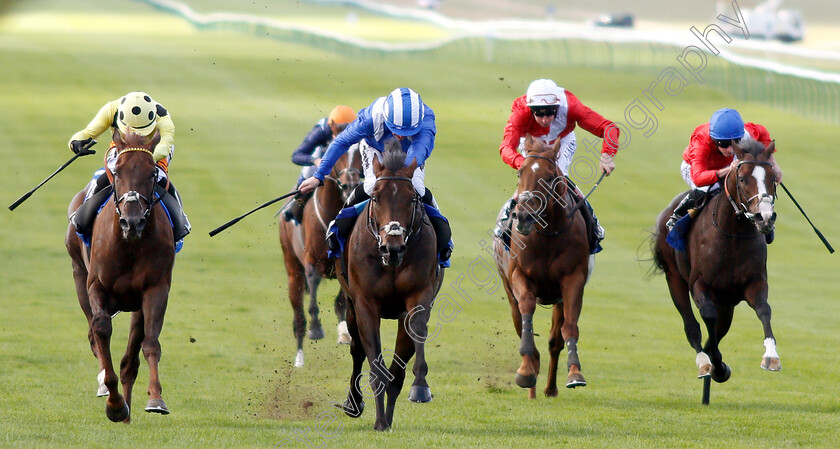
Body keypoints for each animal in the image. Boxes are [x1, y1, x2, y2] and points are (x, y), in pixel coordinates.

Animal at [65, 129, 175, 420]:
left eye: (151, 173)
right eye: (118, 171)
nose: (132, 221)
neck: (130, 245)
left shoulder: (155, 289)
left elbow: (150, 343)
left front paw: (156, 399)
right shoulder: (96, 285)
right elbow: (101, 328)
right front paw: (113, 401)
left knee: (131, 356)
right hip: (78, 274)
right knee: (94, 334)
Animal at [280, 145, 362, 366]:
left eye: (360, 153)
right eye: (340, 155)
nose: (350, 185)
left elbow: (341, 301)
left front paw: (345, 332)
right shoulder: (312, 262)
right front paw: (316, 328)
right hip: (293, 270)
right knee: (298, 317)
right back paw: (299, 358)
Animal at [336, 140, 446, 430]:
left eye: (412, 198)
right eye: (375, 198)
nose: (392, 247)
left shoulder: (419, 296)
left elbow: (414, 335)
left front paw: (420, 388)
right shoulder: (365, 304)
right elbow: (374, 363)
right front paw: (379, 421)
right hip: (351, 306)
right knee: (357, 351)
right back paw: (354, 403)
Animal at [492, 135, 592, 398]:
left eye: (549, 177)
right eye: (520, 173)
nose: (523, 216)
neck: (546, 235)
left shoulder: (573, 279)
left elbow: (570, 327)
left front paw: (575, 373)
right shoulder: (519, 275)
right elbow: (526, 308)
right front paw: (526, 370)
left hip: (558, 299)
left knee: (555, 341)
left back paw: (549, 388)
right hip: (508, 291)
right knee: (520, 322)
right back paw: (532, 381)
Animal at [648, 139, 780, 388]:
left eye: (772, 178)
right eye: (742, 179)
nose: (765, 218)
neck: (733, 235)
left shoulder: (754, 282)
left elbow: (763, 309)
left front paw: (771, 356)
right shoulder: (700, 284)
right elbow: (708, 318)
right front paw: (715, 365)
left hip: (726, 301)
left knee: (720, 327)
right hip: (675, 278)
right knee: (691, 325)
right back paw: (703, 361)